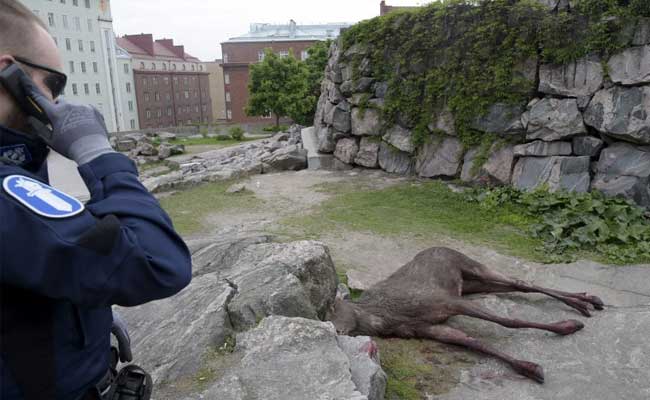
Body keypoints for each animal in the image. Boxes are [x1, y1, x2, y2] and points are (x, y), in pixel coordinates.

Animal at [326, 247, 604, 383]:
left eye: (332, 308)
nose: (336, 331)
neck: (386, 318)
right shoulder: (426, 328)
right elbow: (473, 342)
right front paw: (529, 367)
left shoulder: (447, 301)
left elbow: (506, 321)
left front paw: (566, 327)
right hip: (473, 284)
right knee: (517, 285)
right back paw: (586, 299)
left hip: (471, 266)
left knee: (519, 281)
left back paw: (583, 306)